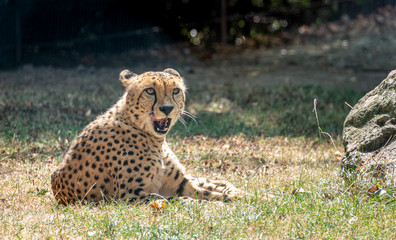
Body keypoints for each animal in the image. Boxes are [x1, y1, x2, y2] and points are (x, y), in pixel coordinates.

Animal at [51, 68, 243, 204]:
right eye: (150, 91)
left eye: (175, 91)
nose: (167, 108)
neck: (154, 139)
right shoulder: (128, 196)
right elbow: (176, 199)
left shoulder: (180, 183)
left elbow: (206, 192)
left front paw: (239, 197)